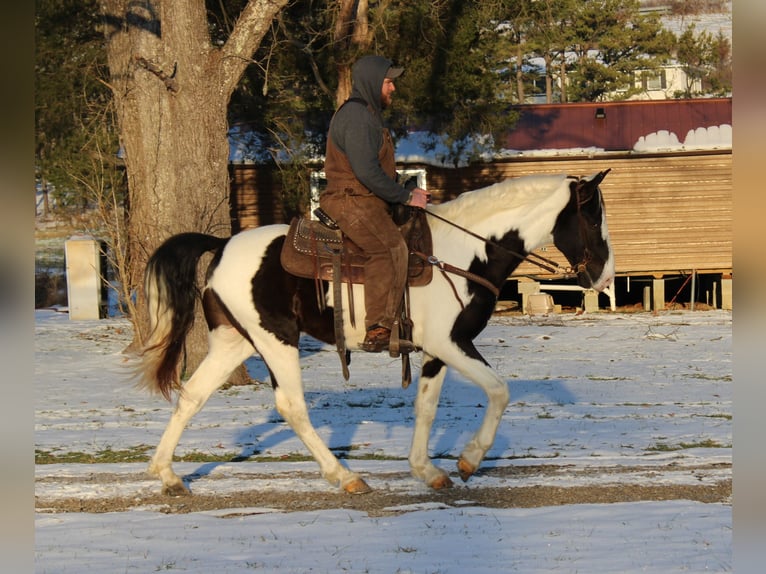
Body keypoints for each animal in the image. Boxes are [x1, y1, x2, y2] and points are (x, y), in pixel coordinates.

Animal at [136, 169, 616, 498]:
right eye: (594, 220)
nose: (604, 276)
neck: (466, 253)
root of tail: (221, 246)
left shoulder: (436, 351)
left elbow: (426, 407)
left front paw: (427, 470)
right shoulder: (452, 343)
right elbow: (499, 391)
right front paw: (469, 459)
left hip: (234, 341)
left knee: (193, 395)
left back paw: (167, 474)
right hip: (276, 339)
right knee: (291, 406)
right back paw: (345, 476)